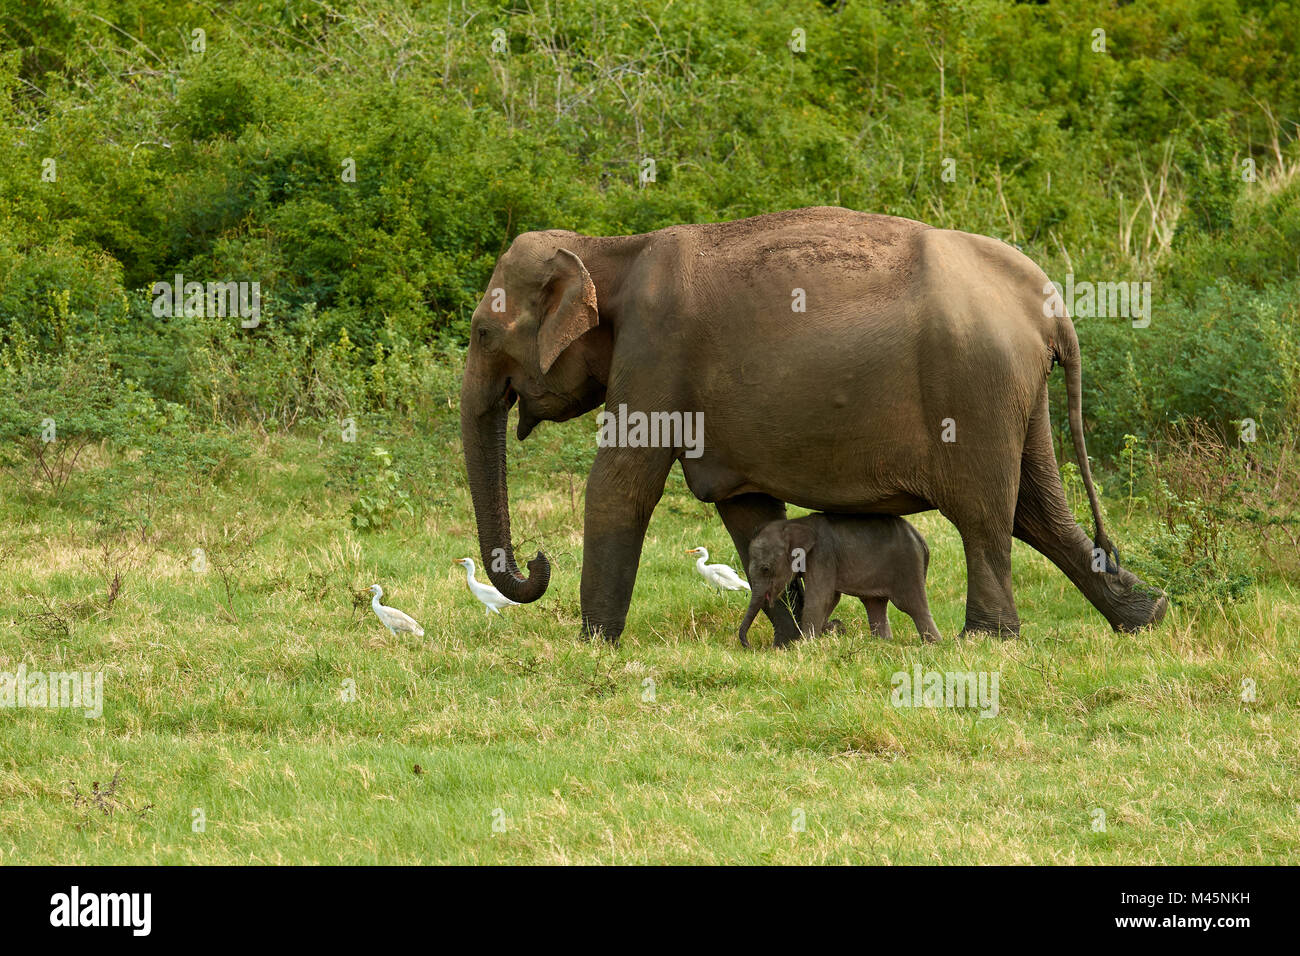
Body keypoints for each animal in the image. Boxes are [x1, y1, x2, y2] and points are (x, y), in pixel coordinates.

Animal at [738, 515, 941, 650]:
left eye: (765, 569)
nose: (749, 645)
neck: (794, 523)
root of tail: (921, 540)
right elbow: (831, 598)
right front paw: (827, 631)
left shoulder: (822, 554)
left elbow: (821, 597)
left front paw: (806, 644)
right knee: (875, 604)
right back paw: (882, 643)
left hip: (907, 565)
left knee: (912, 605)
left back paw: (935, 646)